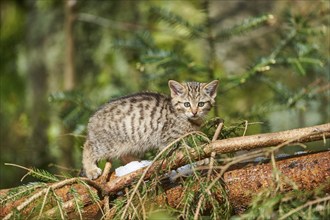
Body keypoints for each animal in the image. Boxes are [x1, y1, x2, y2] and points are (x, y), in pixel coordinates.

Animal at [82, 80, 219, 180]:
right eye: (186, 104)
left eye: (201, 104)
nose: (194, 112)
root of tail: (93, 118)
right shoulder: (167, 139)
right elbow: (184, 148)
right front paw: (200, 157)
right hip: (108, 143)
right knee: (88, 147)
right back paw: (91, 170)